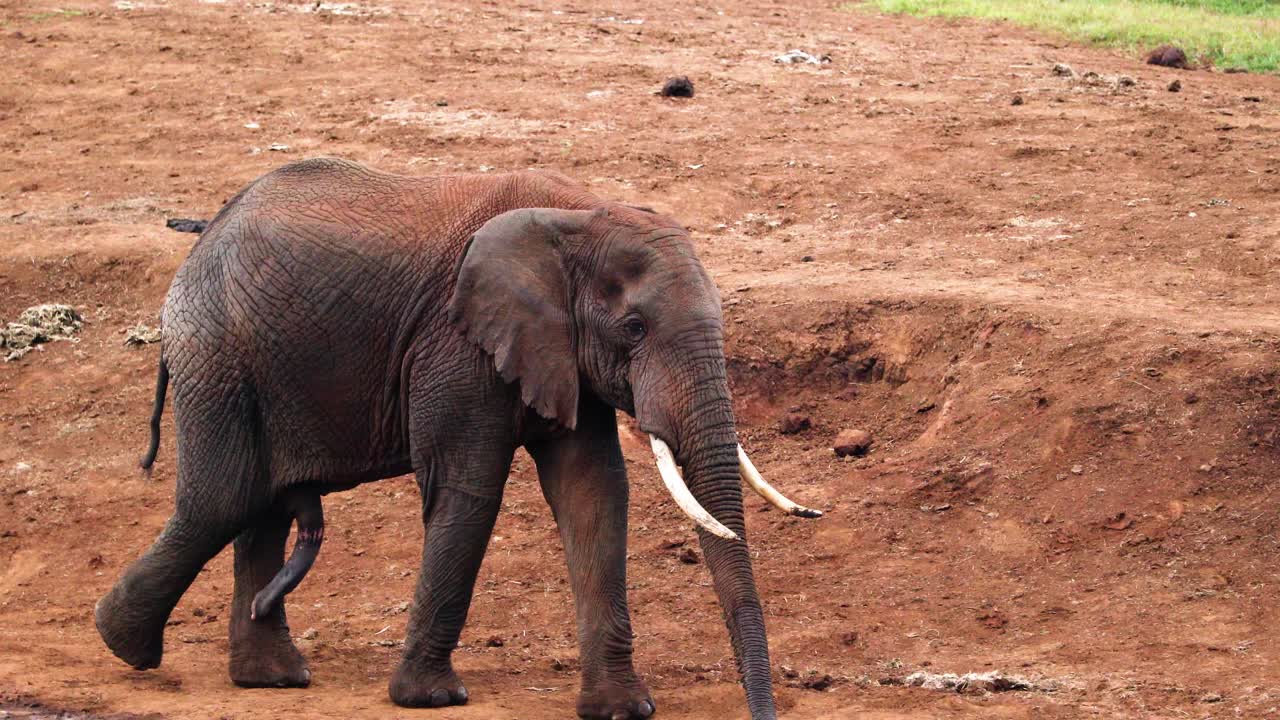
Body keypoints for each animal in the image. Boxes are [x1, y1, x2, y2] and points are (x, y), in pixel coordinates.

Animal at [95, 158, 821, 720]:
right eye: (635, 328)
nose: (763, 712)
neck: (578, 216)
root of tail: (203, 236)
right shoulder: (456, 343)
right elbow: (470, 488)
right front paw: (431, 699)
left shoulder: (559, 353)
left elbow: (594, 494)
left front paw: (621, 710)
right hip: (216, 352)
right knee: (226, 498)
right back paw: (125, 644)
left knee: (262, 506)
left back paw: (269, 678)